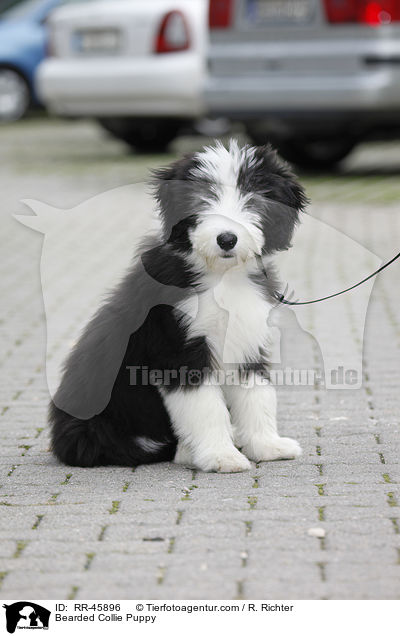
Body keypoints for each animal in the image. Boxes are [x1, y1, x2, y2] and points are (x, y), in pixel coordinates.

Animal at [49, 142, 306, 474]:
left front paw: (268, 446)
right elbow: (206, 406)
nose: (227, 239)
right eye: (202, 198)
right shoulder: (179, 348)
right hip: (96, 428)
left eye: (253, 198)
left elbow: (257, 395)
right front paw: (221, 456)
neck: (222, 277)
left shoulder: (247, 339)